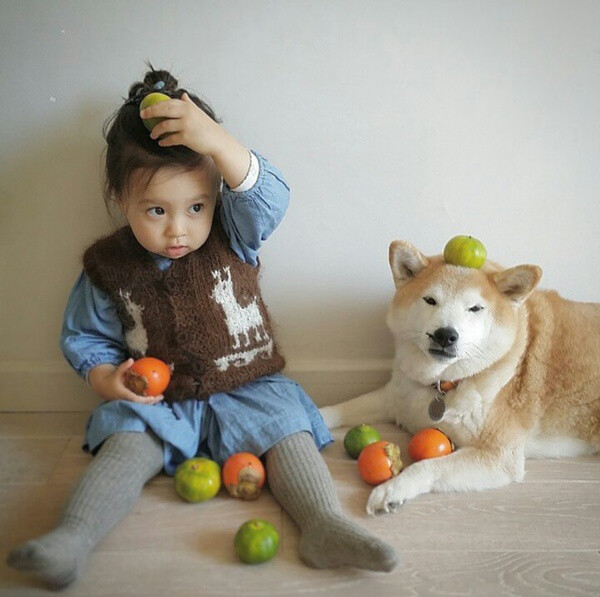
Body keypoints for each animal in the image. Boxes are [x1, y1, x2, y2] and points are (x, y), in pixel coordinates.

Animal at [322, 240, 600, 516]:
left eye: (475, 308)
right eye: (430, 300)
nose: (444, 335)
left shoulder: (498, 457)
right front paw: (314, 415)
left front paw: (392, 490)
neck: (444, 384)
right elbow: (341, 407)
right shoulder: (397, 398)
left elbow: (428, 466)